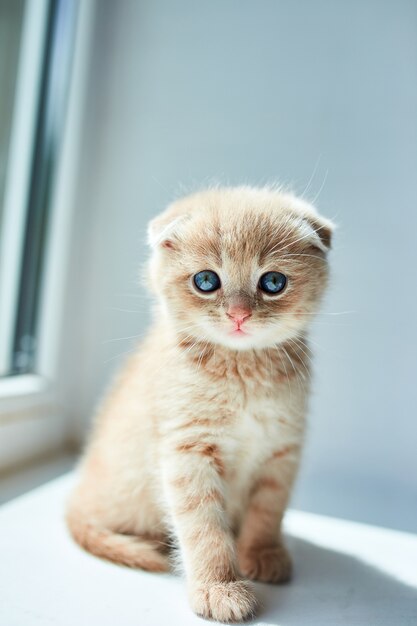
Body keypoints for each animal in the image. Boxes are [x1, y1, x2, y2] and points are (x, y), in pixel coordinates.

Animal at [66, 184, 334, 620]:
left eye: (273, 282)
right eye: (206, 280)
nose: (239, 314)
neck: (244, 373)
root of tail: (76, 494)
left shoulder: (281, 451)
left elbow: (268, 510)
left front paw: (264, 552)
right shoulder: (187, 452)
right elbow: (204, 528)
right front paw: (219, 588)